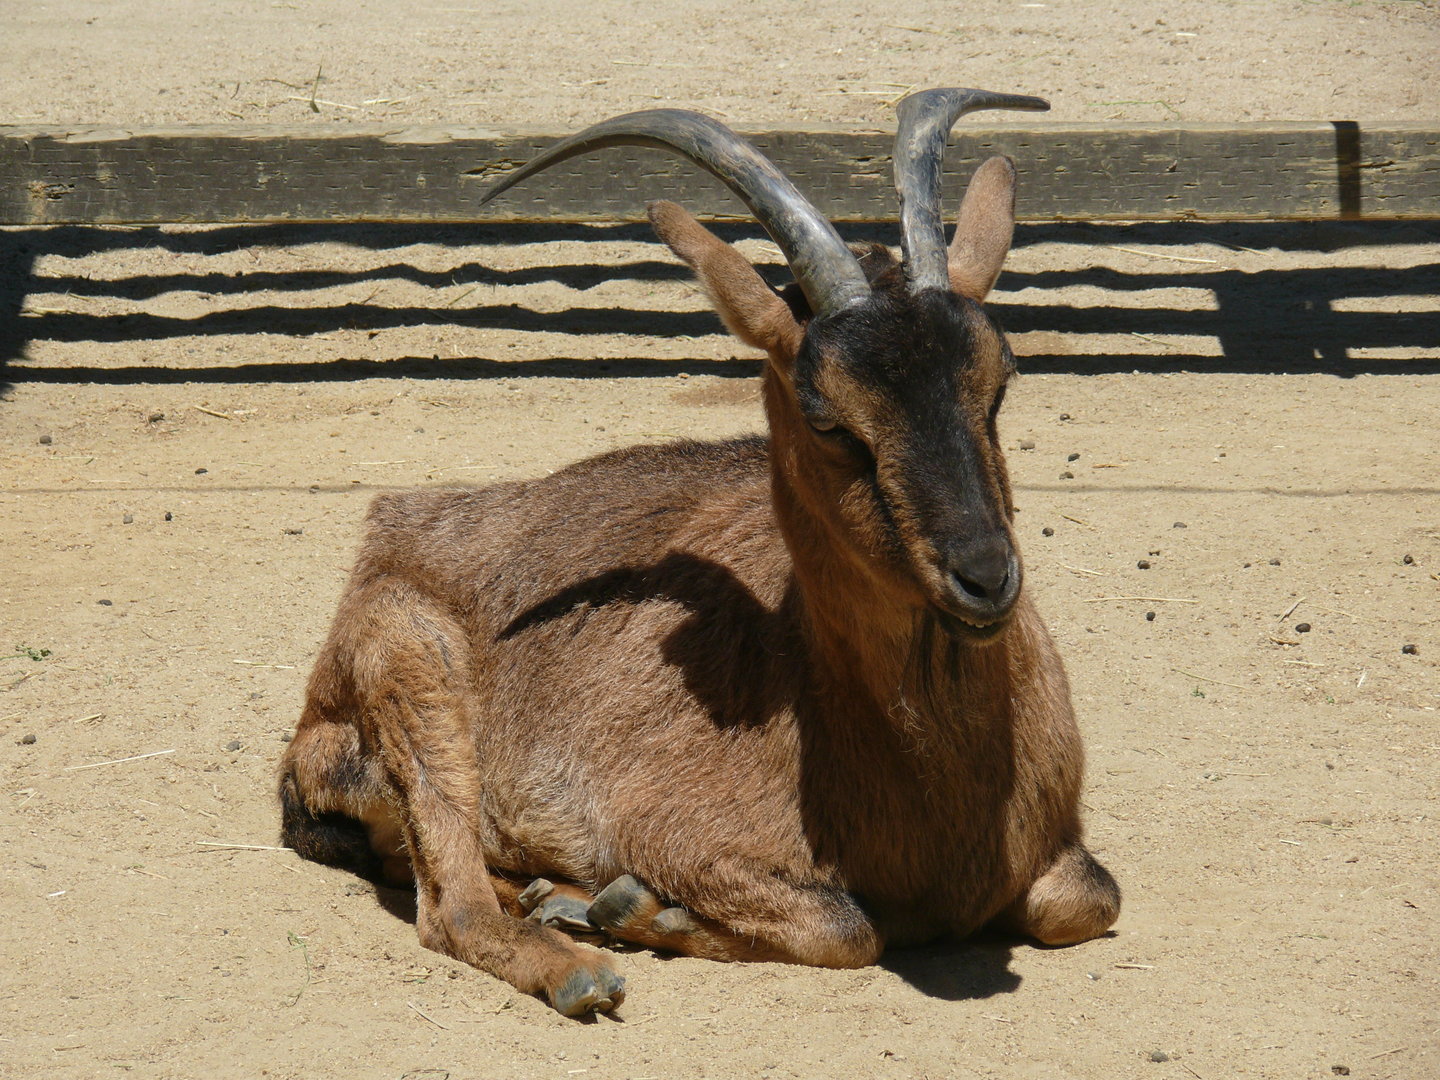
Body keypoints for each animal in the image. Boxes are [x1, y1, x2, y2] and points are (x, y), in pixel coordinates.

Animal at [278, 87, 1121, 1017]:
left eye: (999, 383)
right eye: (829, 420)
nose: (984, 578)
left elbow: (1089, 900)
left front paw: (602, 903)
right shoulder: (671, 828)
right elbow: (850, 927)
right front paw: (634, 908)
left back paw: (553, 899)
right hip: (409, 664)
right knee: (451, 905)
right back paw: (578, 964)